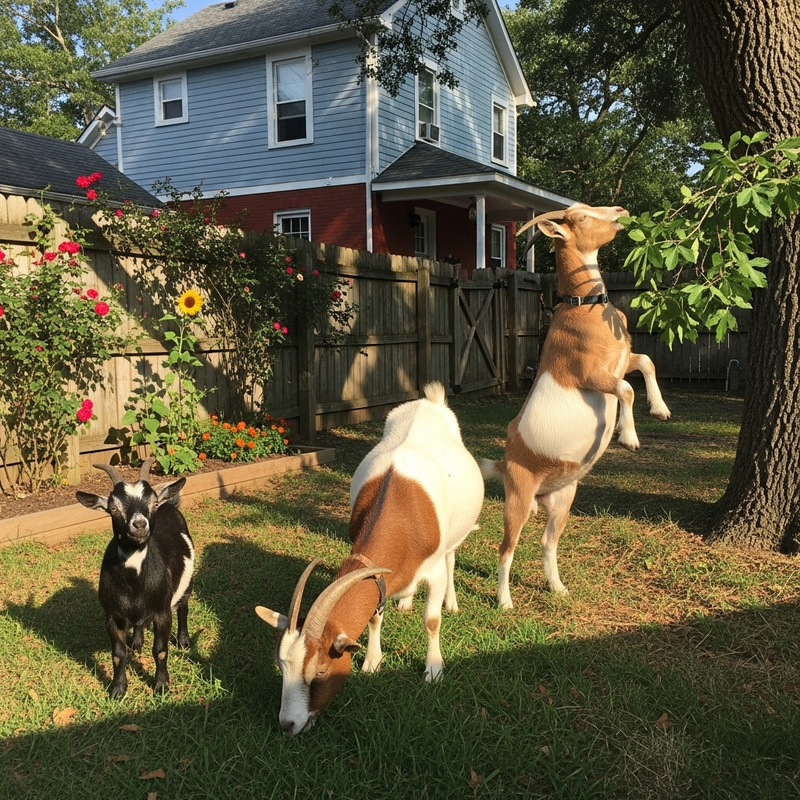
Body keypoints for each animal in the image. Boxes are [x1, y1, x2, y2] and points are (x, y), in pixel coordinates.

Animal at [76, 459, 194, 697]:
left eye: (153, 503)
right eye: (113, 508)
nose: (140, 524)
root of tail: (171, 504)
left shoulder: (162, 612)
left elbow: (160, 650)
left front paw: (161, 686)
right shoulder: (112, 616)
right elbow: (118, 655)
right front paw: (118, 689)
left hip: (185, 586)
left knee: (183, 608)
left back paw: (184, 641)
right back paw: (137, 643)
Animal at [255, 381, 484, 735]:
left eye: (321, 671)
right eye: (281, 667)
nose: (288, 725)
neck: (401, 508)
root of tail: (429, 401)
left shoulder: (432, 569)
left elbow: (431, 621)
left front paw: (433, 669)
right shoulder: (377, 573)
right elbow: (375, 614)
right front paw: (372, 662)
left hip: (453, 538)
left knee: (451, 558)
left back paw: (451, 602)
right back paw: (405, 601)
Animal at [482, 203, 670, 608]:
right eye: (580, 217)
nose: (620, 210)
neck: (584, 305)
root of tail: (506, 462)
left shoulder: (621, 359)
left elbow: (646, 362)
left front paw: (660, 409)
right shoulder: (589, 374)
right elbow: (625, 391)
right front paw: (628, 437)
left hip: (564, 497)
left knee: (547, 542)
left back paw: (557, 587)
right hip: (517, 497)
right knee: (506, 548)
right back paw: (505, 602)